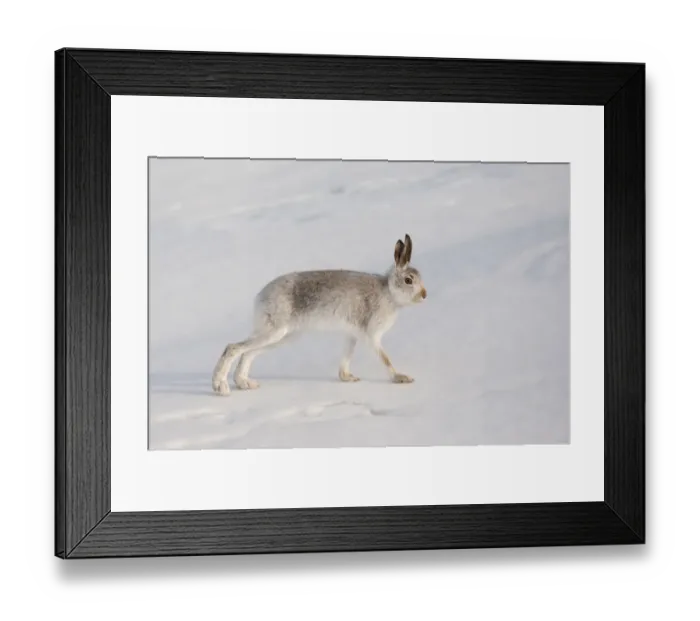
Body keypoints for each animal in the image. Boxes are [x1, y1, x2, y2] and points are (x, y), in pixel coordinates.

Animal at [212, 234, 427, 394]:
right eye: (409, 280)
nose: (424, 295)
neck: (389, 292)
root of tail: (260, 297)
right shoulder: (371, 335)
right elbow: (385, 359)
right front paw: (401, 378)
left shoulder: (352, 335)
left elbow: (346, 356)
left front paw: (347, 378)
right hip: (275, 331)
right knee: (233, 348)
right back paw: (220, 387)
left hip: (283, 336)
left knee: (248, 352)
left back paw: (245, 383)